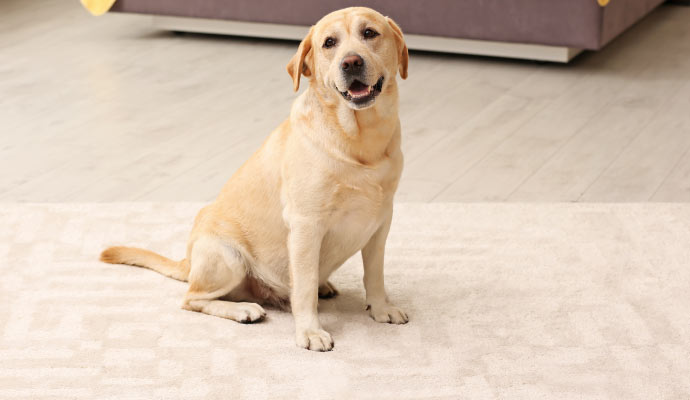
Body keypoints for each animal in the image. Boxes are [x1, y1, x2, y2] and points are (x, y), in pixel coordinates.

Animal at [99, 5, 406, 350]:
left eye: (369, 33)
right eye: (329, 43)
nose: (351, 62)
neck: (359, 141)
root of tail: (188, 261)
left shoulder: (381, 221)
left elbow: (375, 274)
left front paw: (381, 308)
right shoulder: (306, 225)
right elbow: (303, 290)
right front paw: (310, 331)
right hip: (228, 257)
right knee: (192, 298)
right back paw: (244, 309)